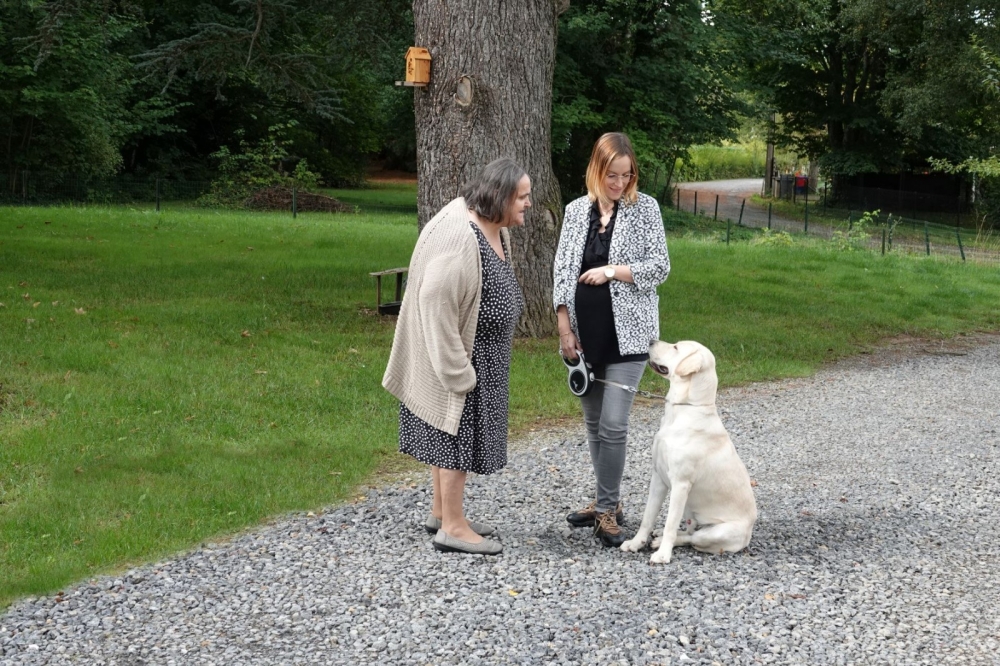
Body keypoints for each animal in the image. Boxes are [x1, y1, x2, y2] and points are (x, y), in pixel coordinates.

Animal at [620, 338, 752, 560]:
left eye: (675, 347)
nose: (650, 340)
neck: (685, 408)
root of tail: (749, 536)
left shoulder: (680, 484)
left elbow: (670, 525)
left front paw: (663, 555)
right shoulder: (658, 476)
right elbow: (648, 517)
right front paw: (635, 543)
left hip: (718, 532)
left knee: (691, 538)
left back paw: (660, 543)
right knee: (688, 531)